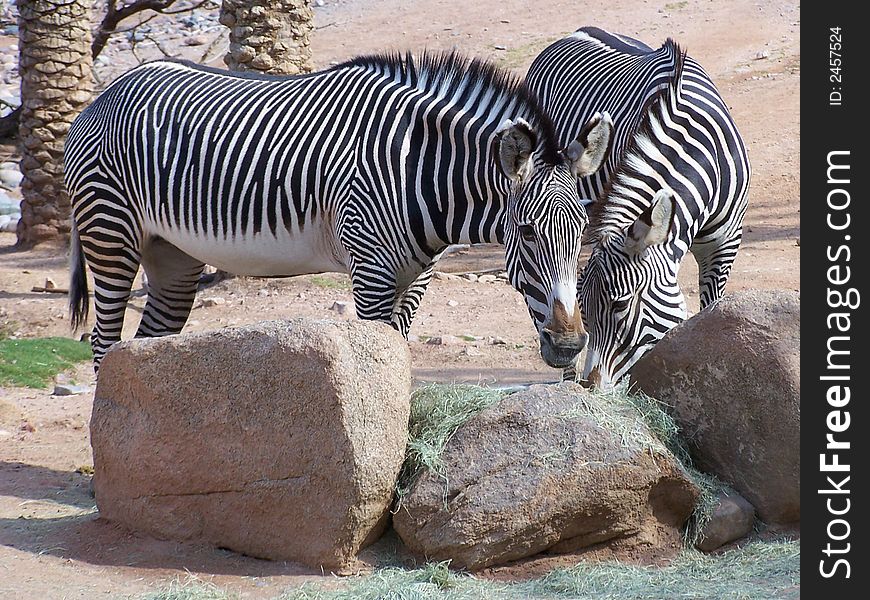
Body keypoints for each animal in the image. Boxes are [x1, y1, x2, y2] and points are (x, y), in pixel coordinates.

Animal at [66, 51, 612, 370]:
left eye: (582, 231)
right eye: (527, 231)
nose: (569, 348)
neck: (417, 165)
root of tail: (104, 93)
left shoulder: (417, 277)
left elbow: (399, 357)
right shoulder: (370, 270)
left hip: (172, 254)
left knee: (143, 344)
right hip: (110, 233)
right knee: (104, 343)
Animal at [524, 28, 748, 386]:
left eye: (621, 306)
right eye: (585, 307)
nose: (590, 386)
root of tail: (575, 32)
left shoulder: (725, 245)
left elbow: (711, 308)